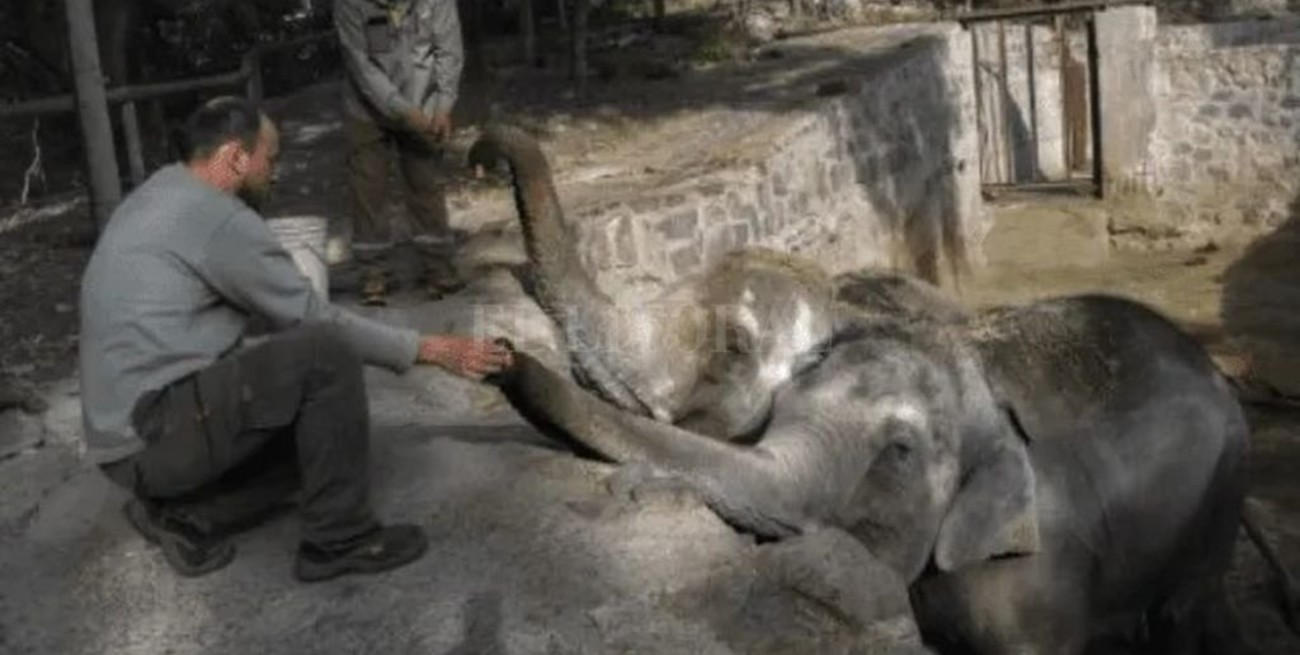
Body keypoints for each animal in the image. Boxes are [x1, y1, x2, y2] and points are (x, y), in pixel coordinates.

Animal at [488, 292, 1256, 654]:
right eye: (779, 407)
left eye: (899, 451)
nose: (499, 352)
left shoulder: (1042, 579)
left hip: (1216, 504)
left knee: (1180, 612)